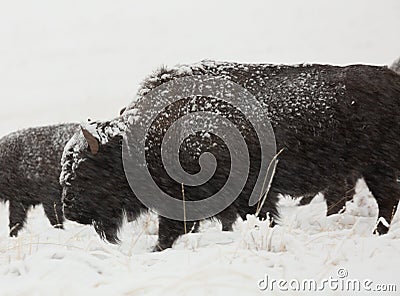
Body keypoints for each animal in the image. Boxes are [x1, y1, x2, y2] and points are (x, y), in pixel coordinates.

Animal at [60, 60, 400, 250]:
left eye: (84, 171)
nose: (69, 211)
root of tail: (391, 79)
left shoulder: (244, 195)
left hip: (378, 167)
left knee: (386, 200)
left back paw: (377, 233)